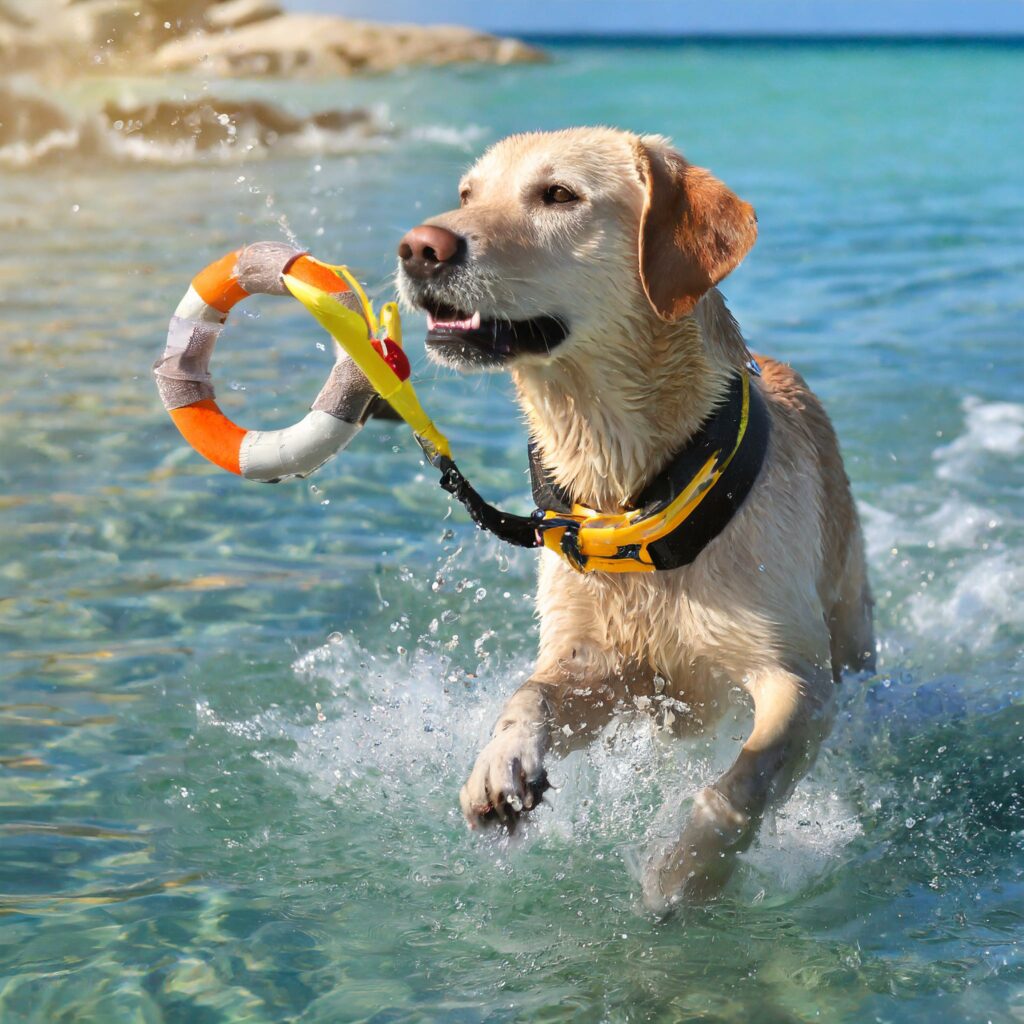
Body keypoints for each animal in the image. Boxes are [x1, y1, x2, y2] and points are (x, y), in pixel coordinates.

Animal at [391, 128, 872, 913]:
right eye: (466, 194)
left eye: (558, 195)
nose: (418, 248)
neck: (632, 494)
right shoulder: (606, 664)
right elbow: (531, 692)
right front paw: (499, 763)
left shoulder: (798, 680)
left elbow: (741, 784)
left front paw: (686, 872)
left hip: (852, 630)